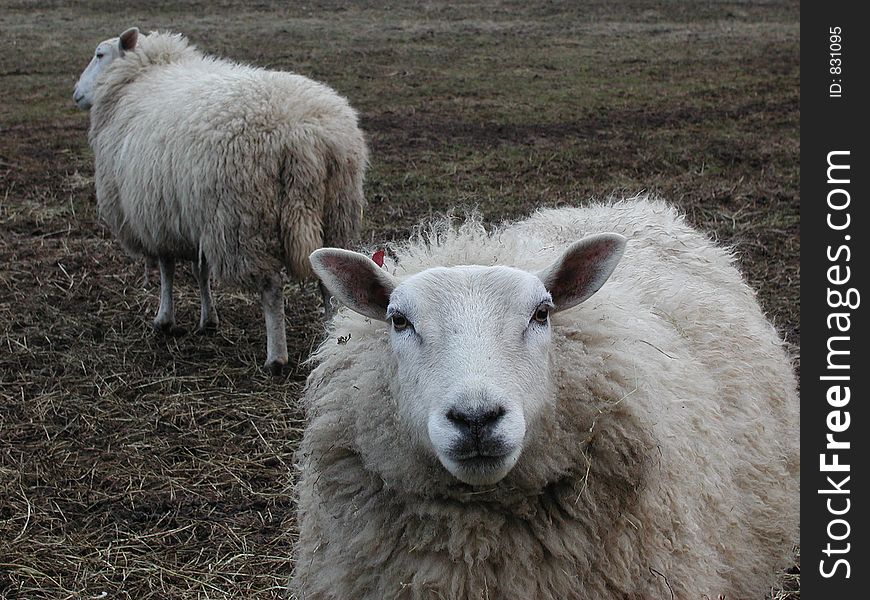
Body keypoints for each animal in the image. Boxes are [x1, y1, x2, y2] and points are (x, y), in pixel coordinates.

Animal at [75, 29, 372, 376]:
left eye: (99, 54)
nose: (76, 93)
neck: (139, 75)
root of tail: (306, 138)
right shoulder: (194, 217)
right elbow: (200, 270)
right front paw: (208, 319)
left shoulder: (158, 219)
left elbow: (167, 269)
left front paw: (164, 319)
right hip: (335, 212)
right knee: (330, 285)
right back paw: (331, 340)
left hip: (245, 223)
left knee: (271, 289)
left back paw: (276, 357)